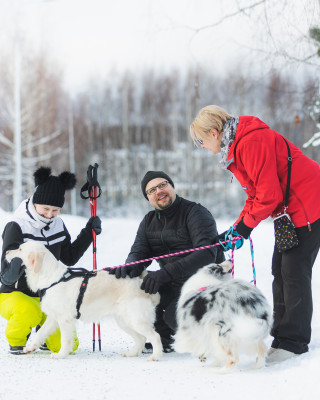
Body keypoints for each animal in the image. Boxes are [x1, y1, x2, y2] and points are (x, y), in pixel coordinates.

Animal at [6, 242, 162, 360]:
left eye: (20, 249)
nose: (6, 251)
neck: (51, 279)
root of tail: (141, 284)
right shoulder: (53, 318)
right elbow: (40, 333)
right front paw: (30, 348)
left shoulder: (65, 319)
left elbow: (65, 340)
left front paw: (60, 355)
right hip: (125, 321)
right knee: (141, 339)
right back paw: (131, 353)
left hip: (136, 319)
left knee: (155, 336)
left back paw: (155, 356)